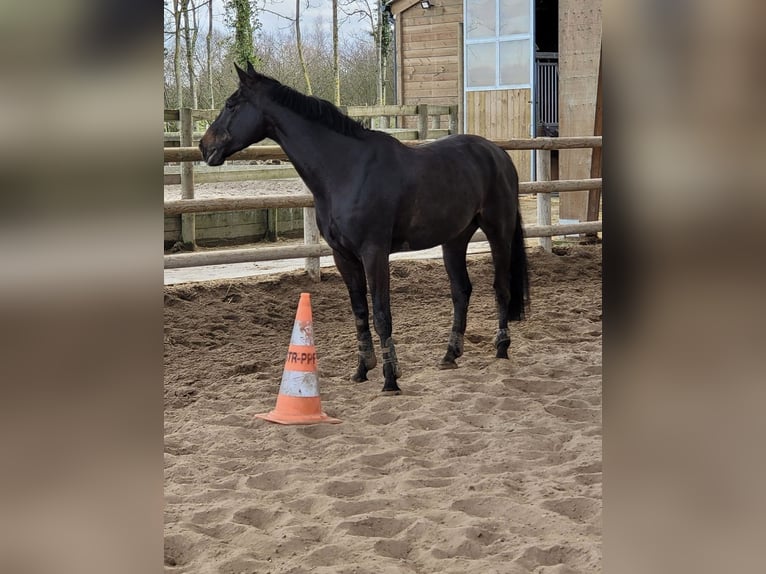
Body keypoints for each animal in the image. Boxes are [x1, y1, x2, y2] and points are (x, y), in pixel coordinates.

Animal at [201, 63, 532, 396]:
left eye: (231, 104)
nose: (205, 146)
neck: (347, 169)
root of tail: (498, 154)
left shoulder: (374, 253)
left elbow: (381, 314)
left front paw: (390, 379)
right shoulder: (343, 256)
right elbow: (360, 311)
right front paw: (362, 369)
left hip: (498, 231)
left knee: (501, 287)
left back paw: (501, 348)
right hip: (454, 239)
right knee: (461, 291)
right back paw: (450, 355)